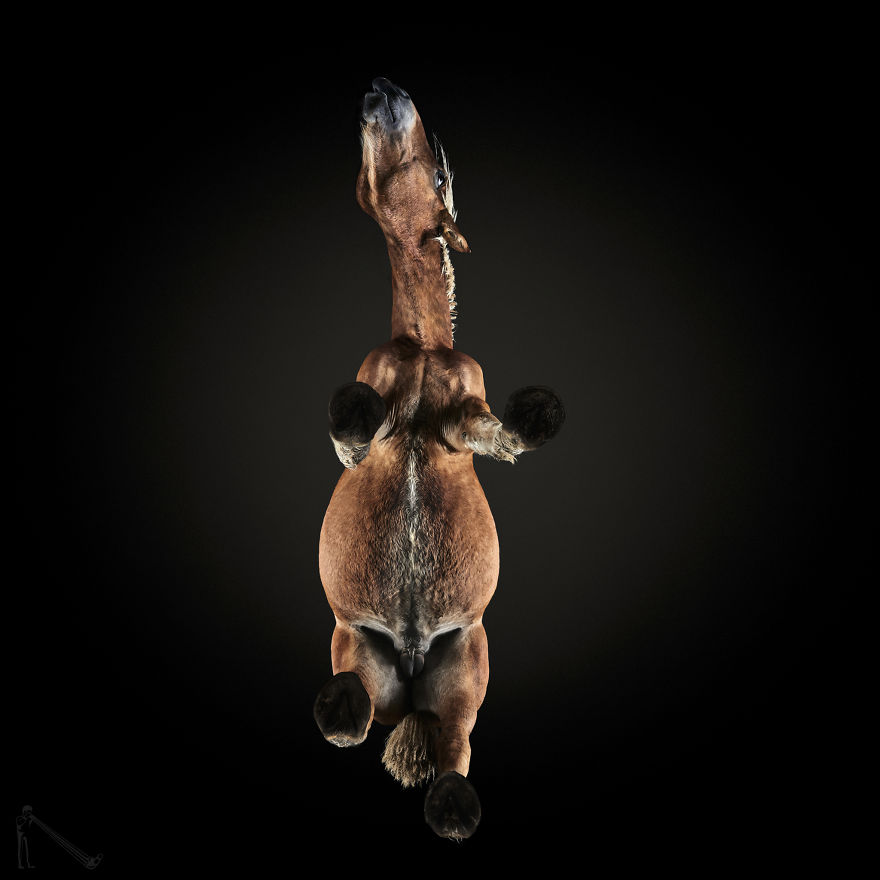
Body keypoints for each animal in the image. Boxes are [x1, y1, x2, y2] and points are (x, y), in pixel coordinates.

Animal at [313, 77, 565, 840]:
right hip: (353, 643)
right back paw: (342, 703)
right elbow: (353, 428)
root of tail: (413, 659)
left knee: (453, 746)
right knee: (356, 719)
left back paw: (452, 805)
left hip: (467, 669)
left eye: (442, 173)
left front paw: (540, 414)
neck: (422, 347)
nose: (382, 88)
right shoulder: (364, 436)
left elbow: (500, 434)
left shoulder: (467, 421)